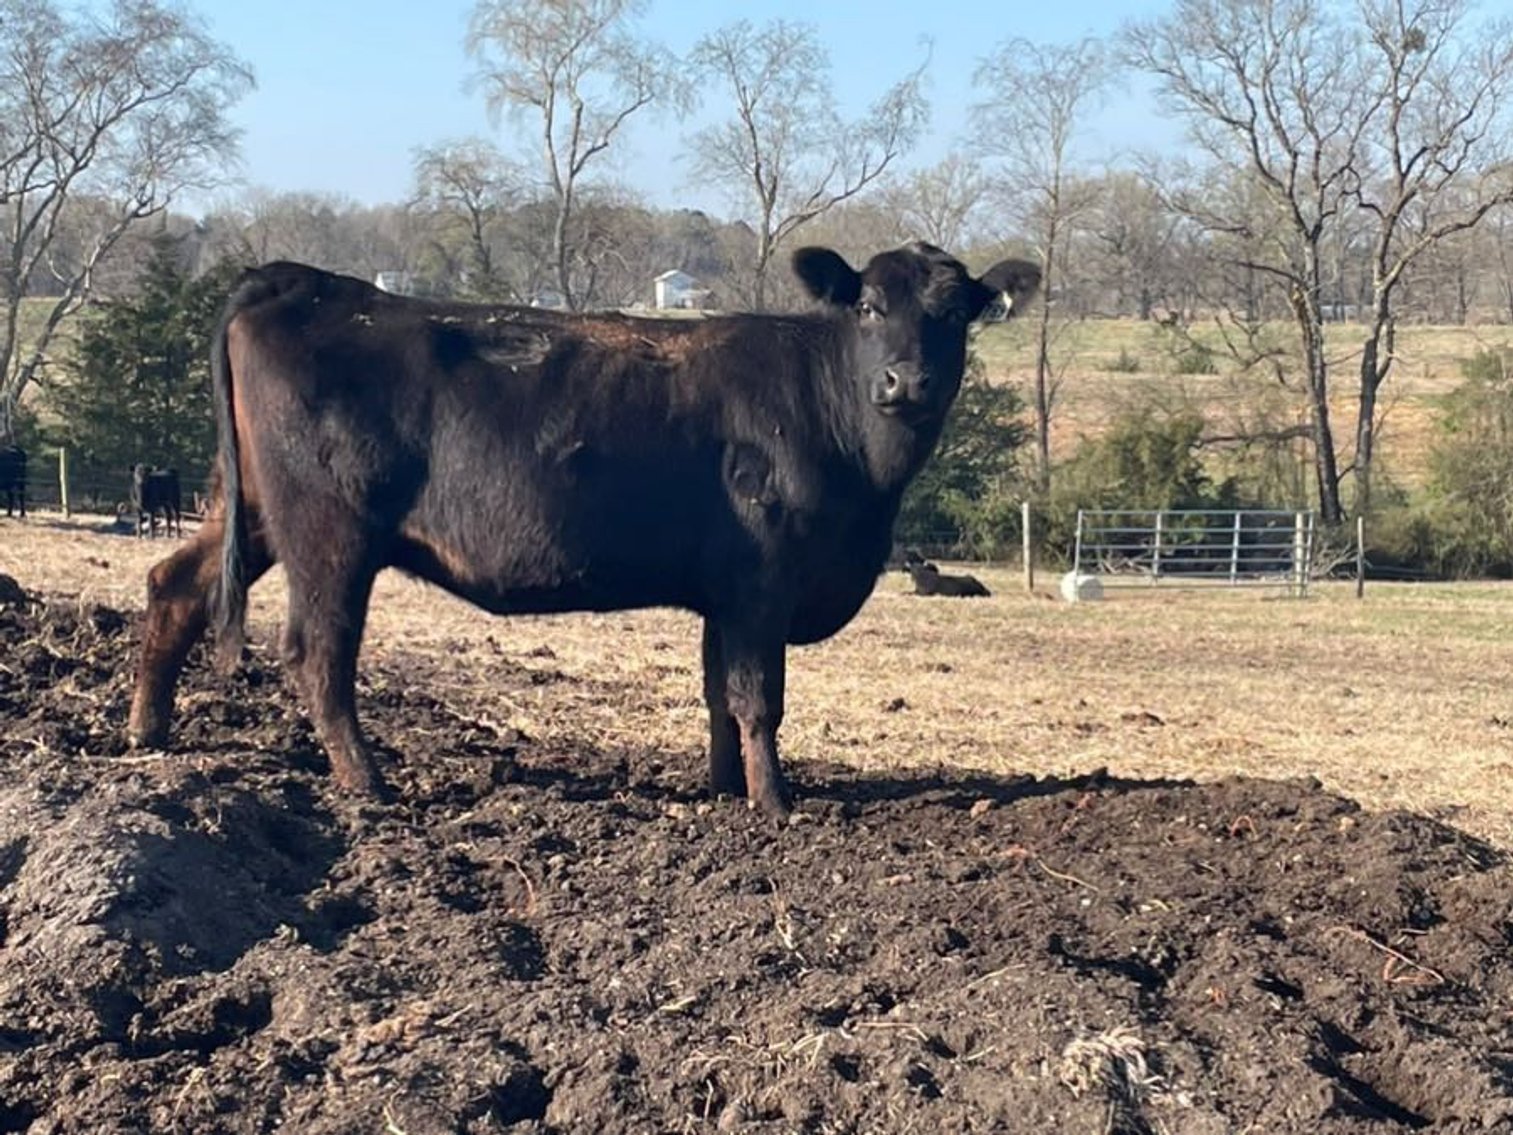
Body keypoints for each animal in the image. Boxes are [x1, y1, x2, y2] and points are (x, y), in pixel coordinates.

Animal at [127, 242, 1040, 817]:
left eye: (954, 314)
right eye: (868, 305)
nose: (905, 382)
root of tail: (307, 282)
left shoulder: (723, 593)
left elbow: (716, 693)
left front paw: (722, 791)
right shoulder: (760, 582)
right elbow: (757, 699)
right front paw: (775, 803)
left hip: (251, 511)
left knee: (174, 586)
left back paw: (146, 732)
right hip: (330, 533)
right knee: (319, 653)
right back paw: (367, 782)